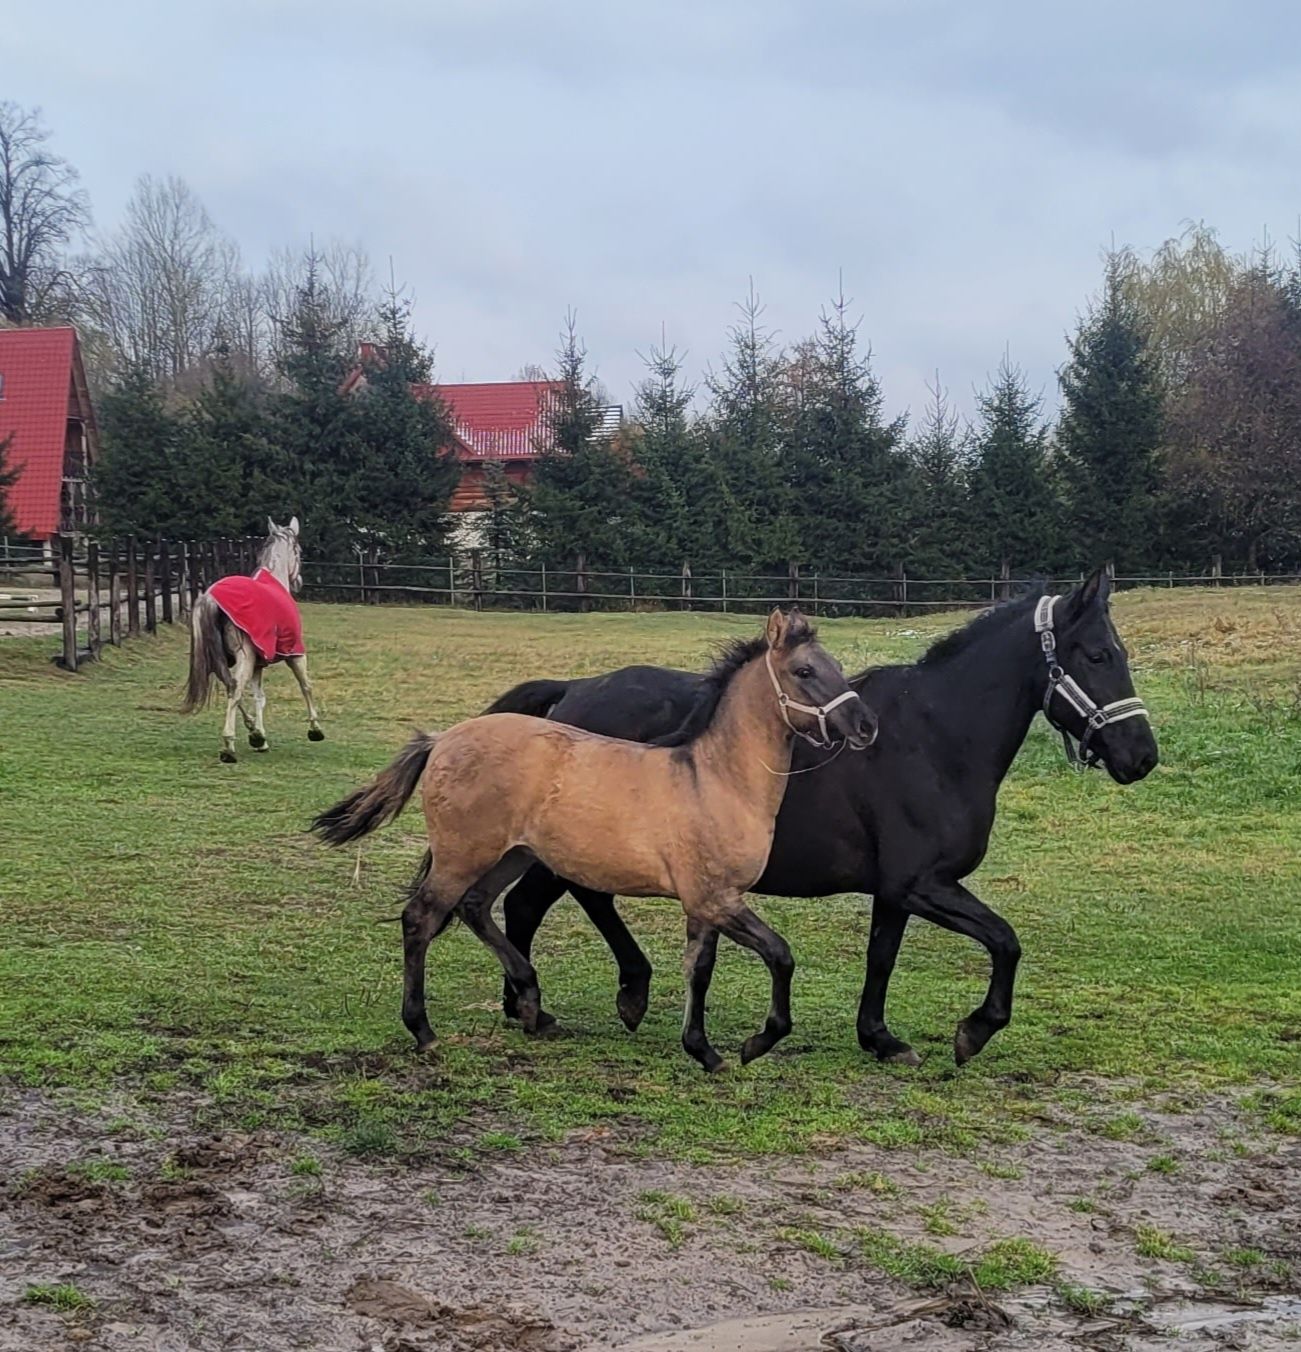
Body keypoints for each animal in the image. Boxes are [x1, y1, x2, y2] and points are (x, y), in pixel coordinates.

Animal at [481, 570, 1152, 1065]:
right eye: (1097, 654)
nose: (1142, 755)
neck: (933, 738)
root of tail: (574, 690)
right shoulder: (923, 883)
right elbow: (1005, 941)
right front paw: (974, 1031)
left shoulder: (896, 889)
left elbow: (882, 956)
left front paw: (879, 1038)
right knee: (542, 903)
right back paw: (571, 1000)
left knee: (553, 903)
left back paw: (560, 1001)